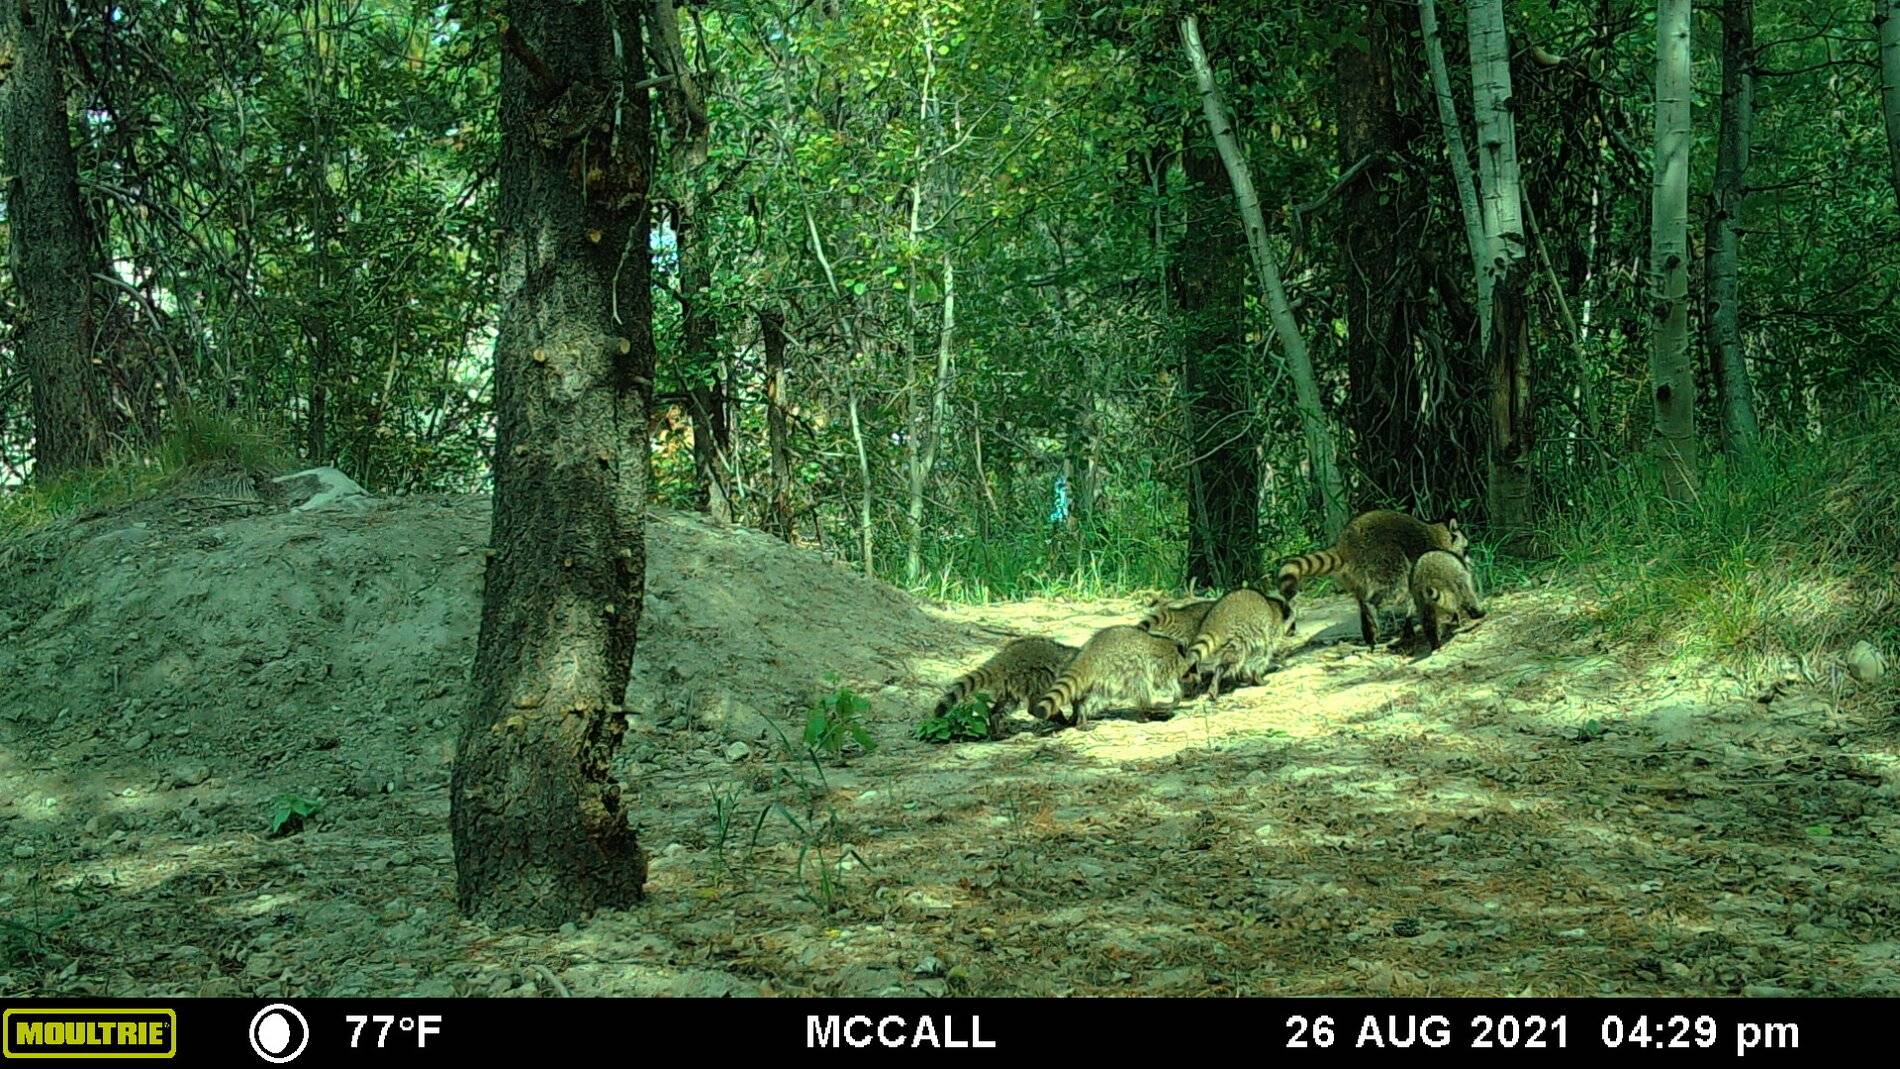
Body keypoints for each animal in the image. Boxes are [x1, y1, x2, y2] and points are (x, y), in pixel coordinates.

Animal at [935, 636, 1078, 735]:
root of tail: (1005, 659)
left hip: (1012, 683)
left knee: (1004, 706)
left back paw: (995, 724)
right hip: (1034, 677)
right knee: (1036, 703)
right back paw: (1055, 716)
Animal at [1031, 625, 1194, 728]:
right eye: (1193, 668)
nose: (1196, 680)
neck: (1177, 649)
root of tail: (1089, 653)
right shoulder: (1164, 664)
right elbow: (1164, 681)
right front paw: (1177, 696)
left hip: (1105, 678)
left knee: (1095, 697)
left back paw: (1081, 712)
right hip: (1123, 665)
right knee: (1140, 683)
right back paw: (1146, 708)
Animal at [1275, 509, 1468, 648]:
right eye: (1466, 548)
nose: (1468, 560)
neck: (1440, 533)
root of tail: (1344, 546)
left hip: (1354, 576)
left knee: (1362, 599)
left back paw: (1369, 631)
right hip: (1384, 560)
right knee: (1394, 588)